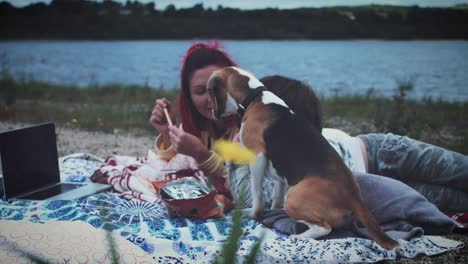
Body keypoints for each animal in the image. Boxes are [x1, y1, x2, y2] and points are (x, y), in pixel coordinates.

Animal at [207, 66, 398, 250]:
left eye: (209, 92)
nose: (211, 112)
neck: (255, 97)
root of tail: (355, 197)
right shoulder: (280, 174)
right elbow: (276, 196)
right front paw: (272, 211)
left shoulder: (257, 157)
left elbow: (257, 193)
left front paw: (254, 214)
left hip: (293, 198)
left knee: (324, 228)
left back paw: (299, 237)